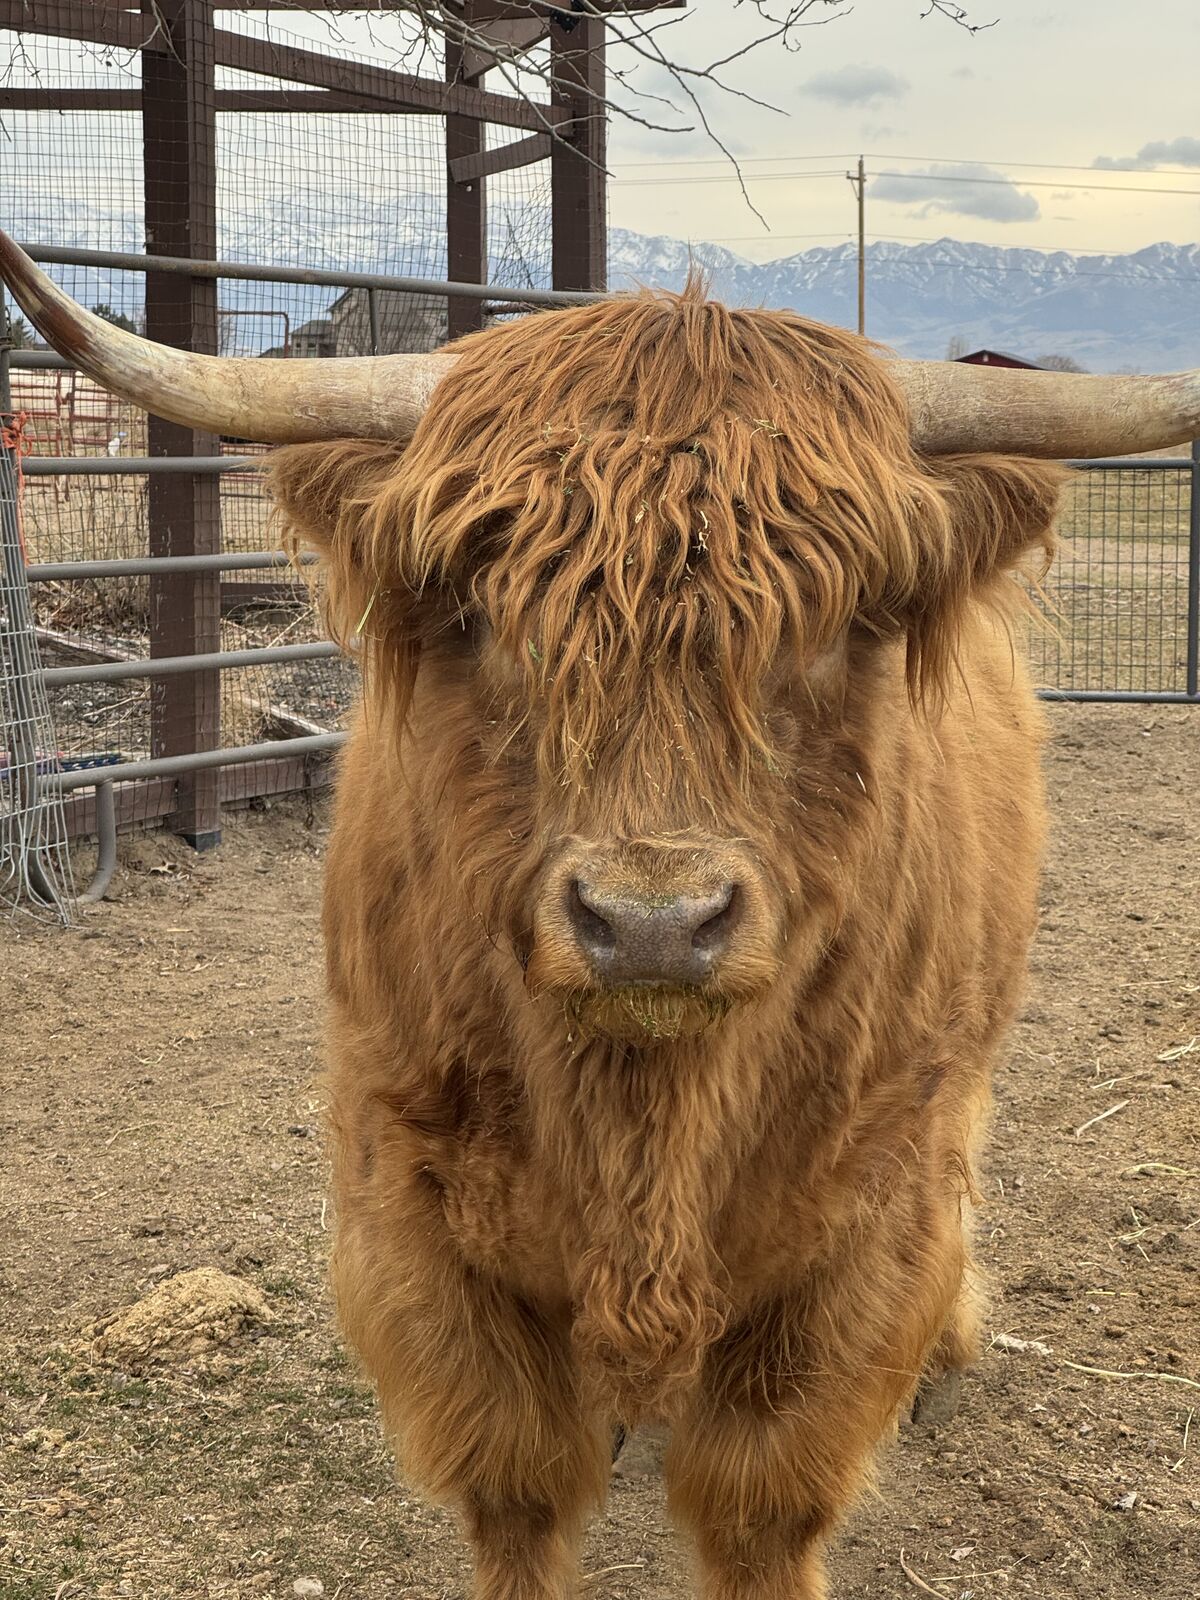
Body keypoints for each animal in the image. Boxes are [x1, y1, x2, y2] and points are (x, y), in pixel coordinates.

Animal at [3, 230, 1197, 1599]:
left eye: (837, 622)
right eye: (481, 616)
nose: (654, 923)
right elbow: (518, 1483)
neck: (646, 1119)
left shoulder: (869, 1220)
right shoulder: (407, 1194)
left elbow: (762, 1505)